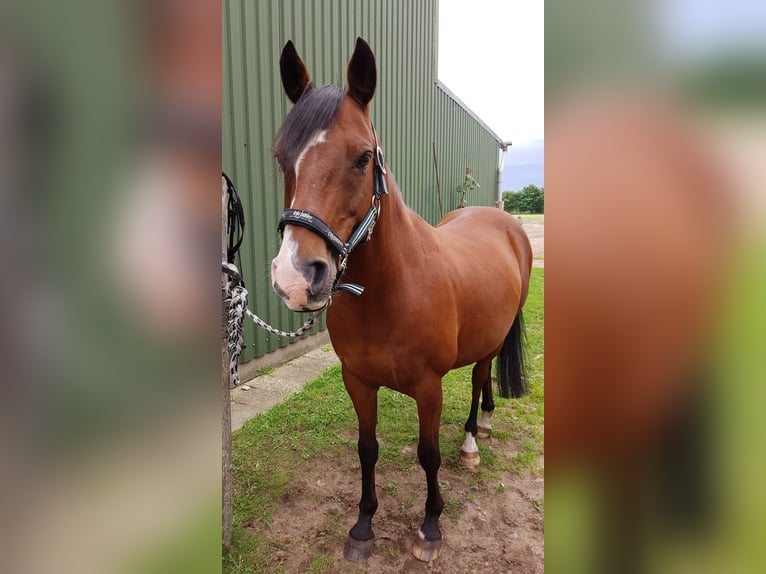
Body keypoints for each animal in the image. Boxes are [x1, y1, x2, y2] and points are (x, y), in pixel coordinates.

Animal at [270, 37, 532, 563]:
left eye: (363, 158)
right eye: (281, 157)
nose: (295, 276)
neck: (391, 292)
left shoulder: (429, 388)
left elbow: (427, 454)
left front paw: (430, 527)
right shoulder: (357, 381)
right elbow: (366, 448)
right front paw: (362, 526)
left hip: (488, 343)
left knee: (479, 378)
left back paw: (473, 439)